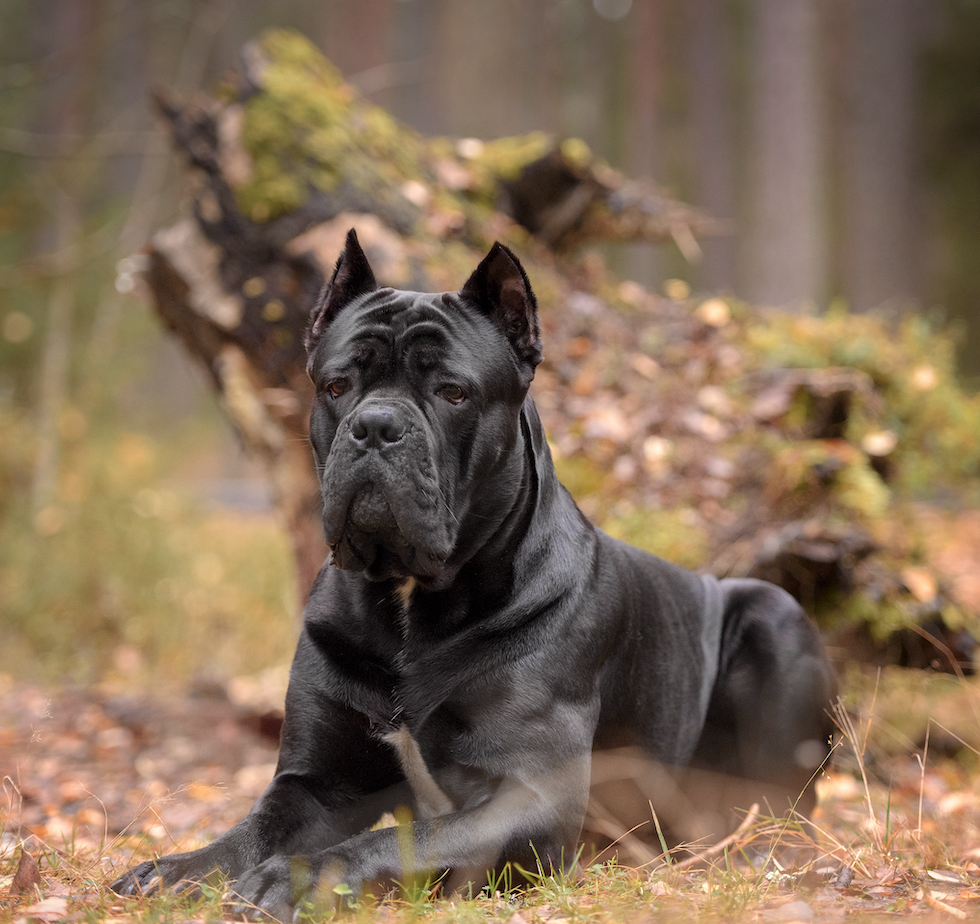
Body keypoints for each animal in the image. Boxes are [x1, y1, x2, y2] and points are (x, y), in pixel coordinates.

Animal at [113, 231, 836, 916]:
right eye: (336, 386)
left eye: (452, 392)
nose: (376, 426)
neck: (410, 604)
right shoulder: (314, 783)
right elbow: (251, 831)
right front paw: (176, 870)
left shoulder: (531, 796)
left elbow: (396, 840)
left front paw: (301, 877)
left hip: (774, 615)